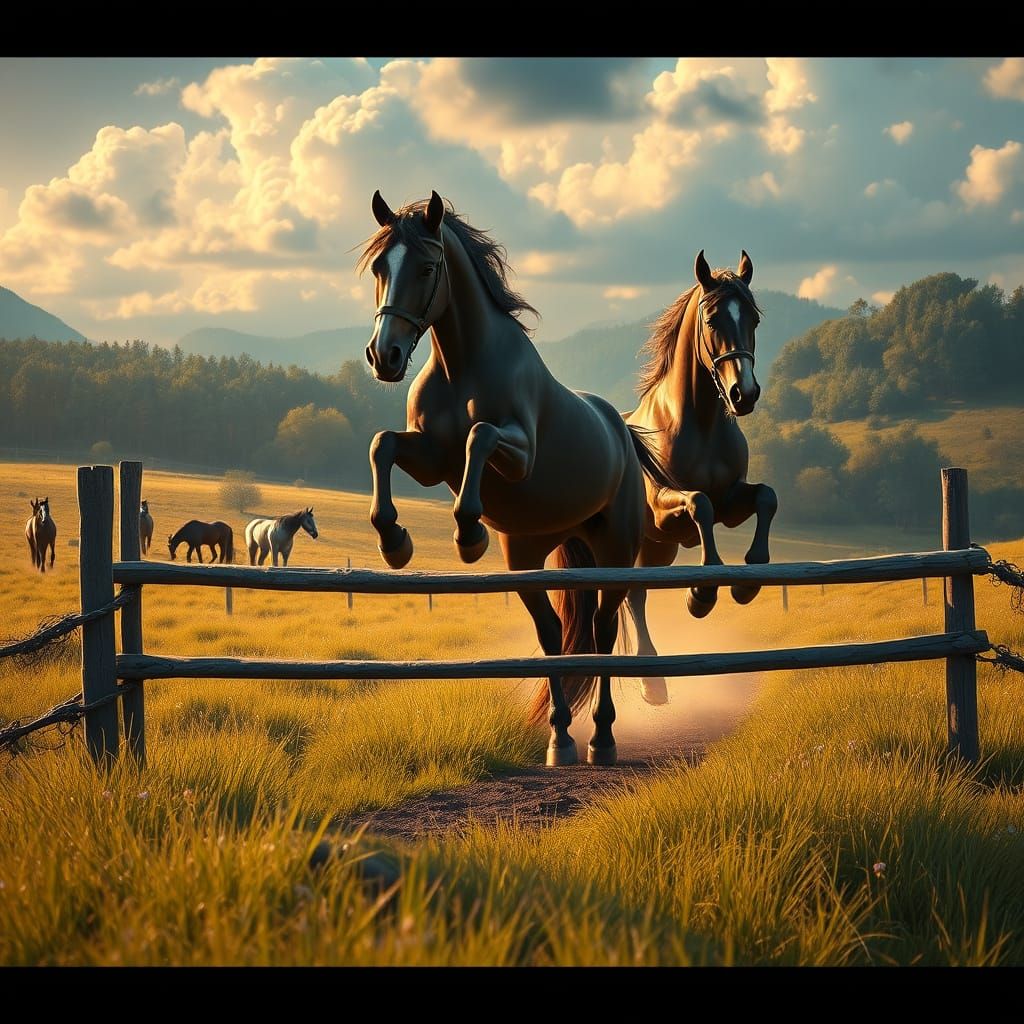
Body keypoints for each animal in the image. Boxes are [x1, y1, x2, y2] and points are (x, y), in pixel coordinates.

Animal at [360, 190, 677, 767]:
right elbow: (383, 444)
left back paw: (601, 739)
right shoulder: (431, 459)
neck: (463, 365)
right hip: (529, 556)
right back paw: (560, 740)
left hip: (614, 552)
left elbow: (479, 436)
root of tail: (620, 428)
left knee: (601, 630)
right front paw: (394, 541)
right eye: (379, 268)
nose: (384, 356)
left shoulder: (516, 454)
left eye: (426, 267)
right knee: (554, 634)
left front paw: (468, 533)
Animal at [623, 250, 778, 705]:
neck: (700, 423)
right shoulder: (665, 510)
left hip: (657, 550)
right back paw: (650, 681)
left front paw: (747, 581)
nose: (744, 394)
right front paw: (701, 594)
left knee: (636, 595)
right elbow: (699, 504)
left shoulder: (733, 500)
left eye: (753, 319)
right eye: (712, 320)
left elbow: (766, 497)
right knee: (627, 597)